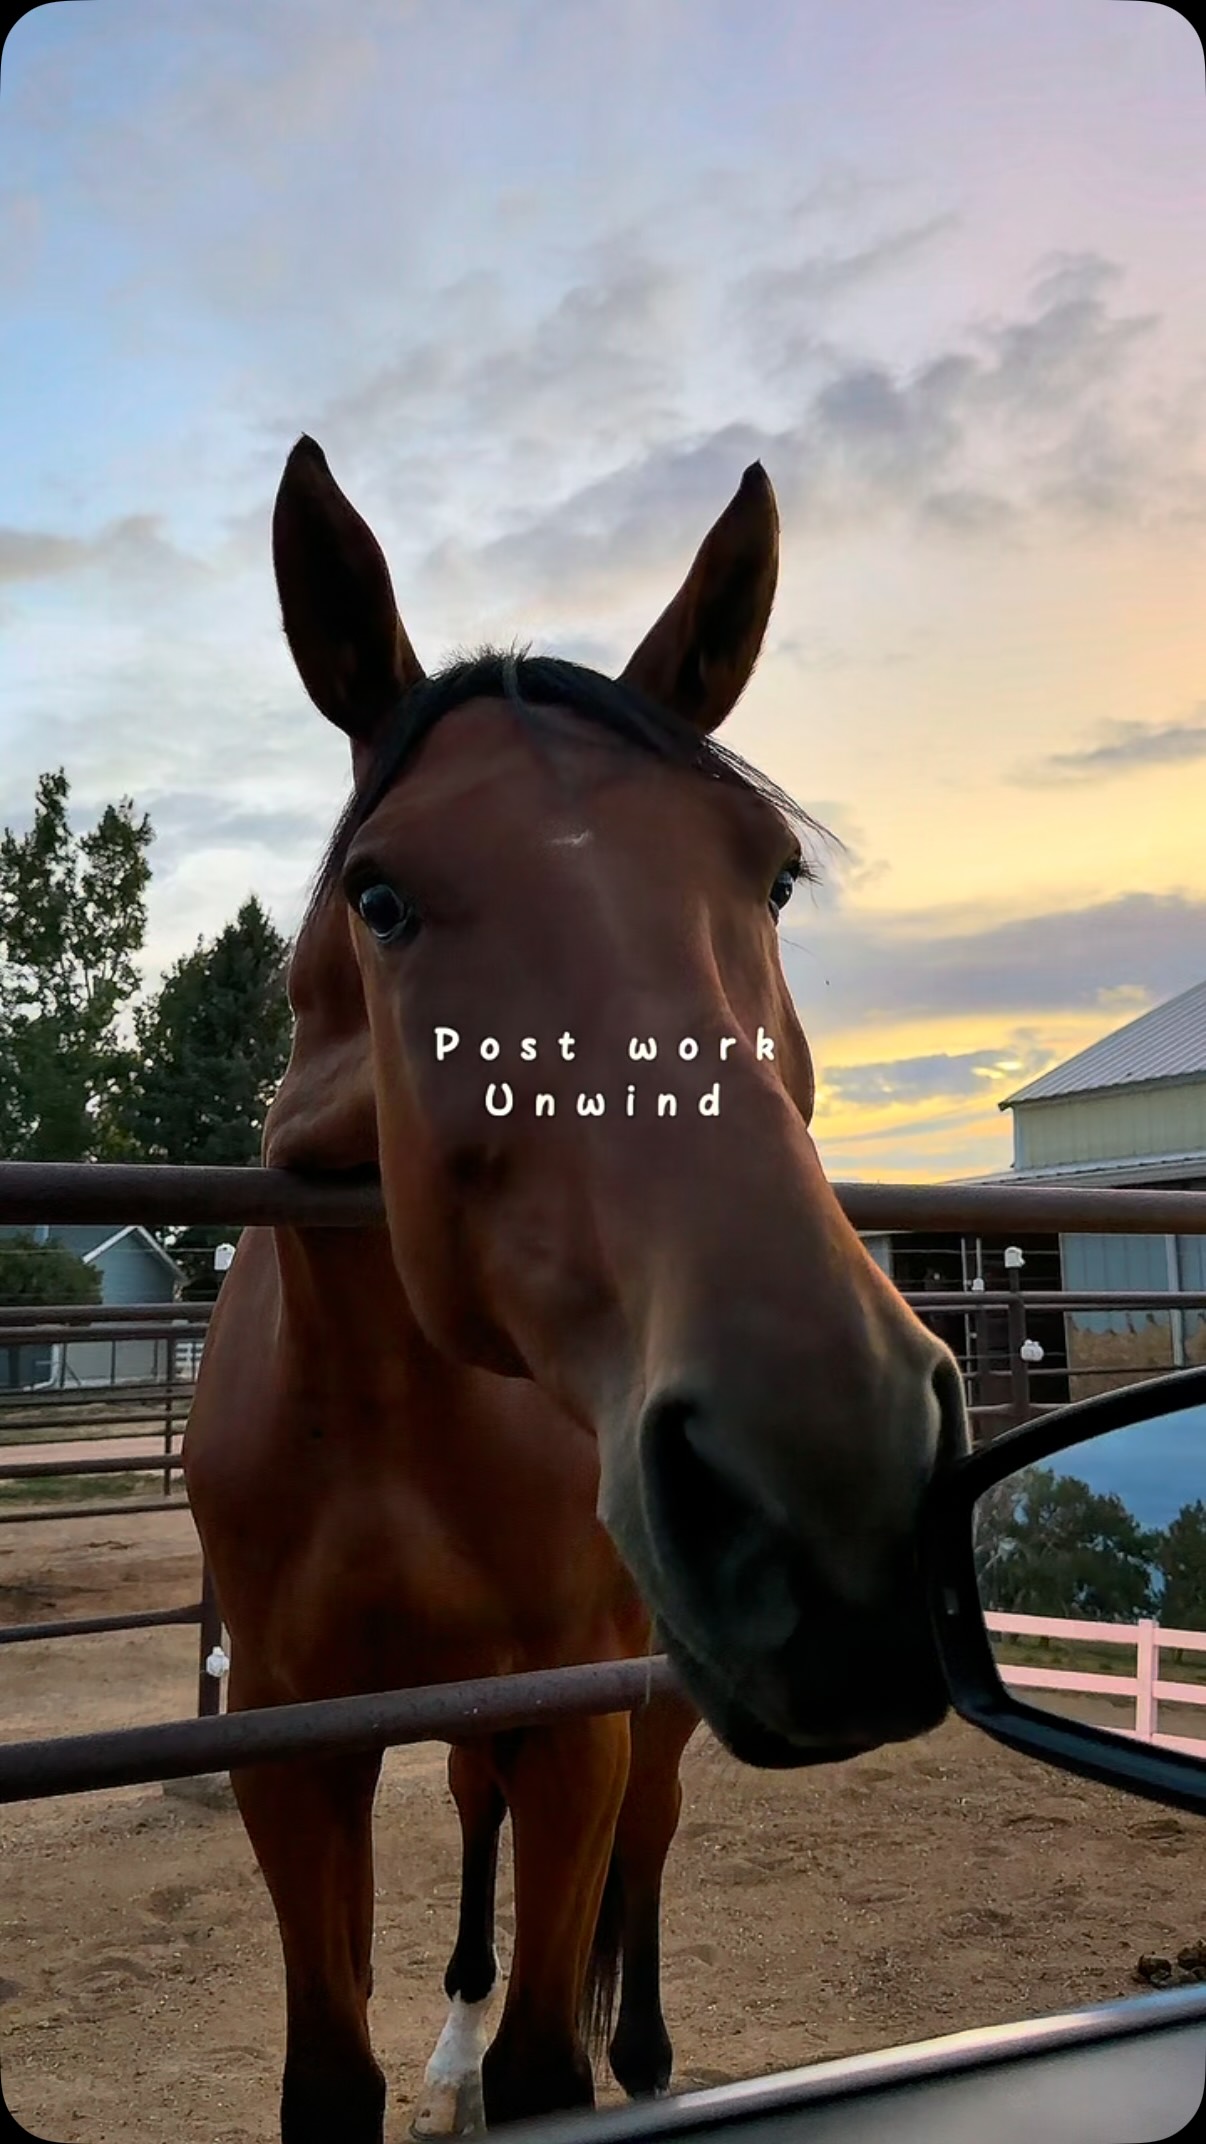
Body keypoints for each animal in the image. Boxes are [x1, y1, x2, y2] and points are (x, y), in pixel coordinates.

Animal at [183, 436, 967, 2144]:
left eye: (774, 880)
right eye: (383, 898)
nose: (827, 1480)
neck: (385, 1413)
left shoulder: (578, 1721)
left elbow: (555, 2055)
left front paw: (565, 2062)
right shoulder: (290, 1751)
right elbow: (329, 2074)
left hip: (642, 1704)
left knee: (648, 1846)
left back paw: (647, 2055)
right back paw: (456, 2032)